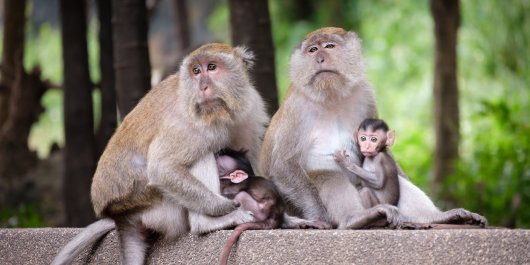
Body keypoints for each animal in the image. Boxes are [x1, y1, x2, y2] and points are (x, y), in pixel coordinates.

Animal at [52, 43, 268, 264]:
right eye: (196, 71)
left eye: (212, 67)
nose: (202, 88)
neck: (222, 113)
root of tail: (121, 216)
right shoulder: (187, 124)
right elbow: (161, 168)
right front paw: (227, 206)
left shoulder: (250, 107)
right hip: (158, 207)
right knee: (202, 155)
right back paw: (207, 222)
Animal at [258, 27, 484, 229]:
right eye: (312, 50)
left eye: (329, 46)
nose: (319, 59)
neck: (331, 97)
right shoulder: (296, 109)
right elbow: (283, 164)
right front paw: (319, 216)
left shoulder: (364, 94)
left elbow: (382, 151)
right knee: (328, 175)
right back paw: (354, 219)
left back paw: (437, 217)